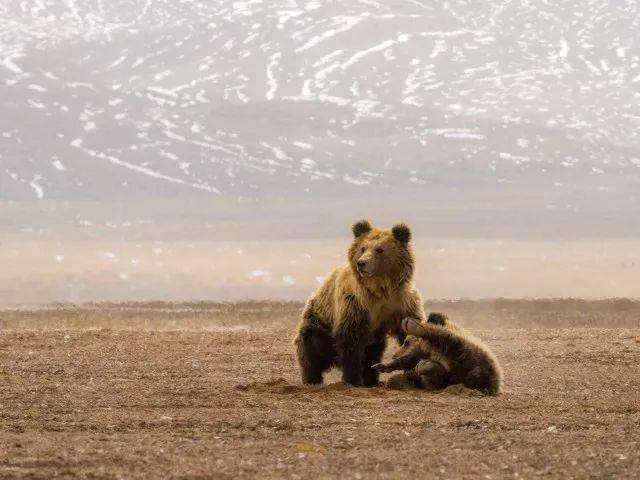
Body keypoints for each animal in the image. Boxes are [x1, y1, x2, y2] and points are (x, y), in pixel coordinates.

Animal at [294, 219, 424, 388]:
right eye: (363, 248)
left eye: (379, 249)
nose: (361, 263)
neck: (380, 288)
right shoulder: (356, 305)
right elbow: (351, 341)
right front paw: (352, 380)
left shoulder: (401, 303)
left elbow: (410, 329)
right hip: (318, 322)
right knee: (312, 349)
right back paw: (312, 379)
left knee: (373, 352)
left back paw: (372, 380)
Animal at [372, 314, 502, 396]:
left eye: (406, 342)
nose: (394, 355)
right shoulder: (423, 352)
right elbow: (411, 361)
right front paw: (383, 366)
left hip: (474, 359)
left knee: (451, 342)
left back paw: (412, 325)